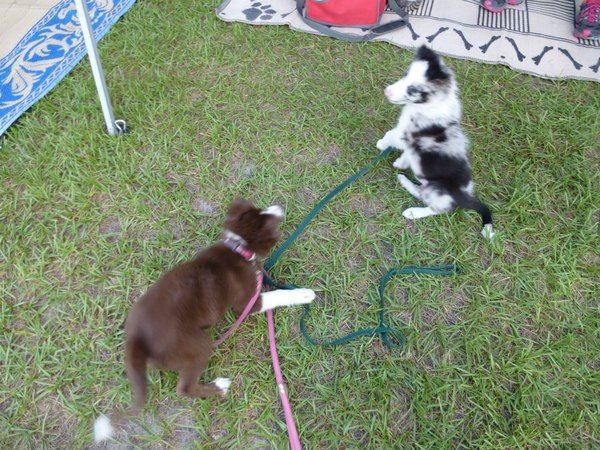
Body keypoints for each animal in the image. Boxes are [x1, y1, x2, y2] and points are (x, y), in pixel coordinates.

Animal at [94, 198, 315, 443]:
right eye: (269, 221)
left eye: (259, 209)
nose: (279, 206)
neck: (237, 247)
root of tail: (136, 339)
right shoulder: (248, 302)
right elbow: (277, 295)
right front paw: (304, 294)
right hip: (197, 345)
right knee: (184, 388)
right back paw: (218, 387)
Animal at [376, 45, 495, 238]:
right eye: (405, 75)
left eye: (412, 89)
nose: (387, 91)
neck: (428, 105)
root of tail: (463, 197)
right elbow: (407, 153)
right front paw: (401, 162)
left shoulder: (404, 136)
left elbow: (389, 135)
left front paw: (381, 144)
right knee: (420, 192)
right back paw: (404, 180)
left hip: (437, 191)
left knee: (437, 209)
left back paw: (413, 212)